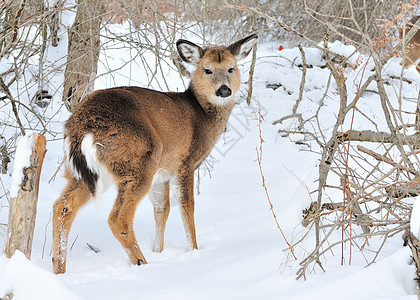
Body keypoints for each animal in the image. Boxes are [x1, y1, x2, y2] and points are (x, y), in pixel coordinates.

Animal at [51, 34, 258, 274]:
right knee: (118, 218)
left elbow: (162, 209)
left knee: (62, 206)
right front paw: (194, 252)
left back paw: (59, 269)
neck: (202, 116)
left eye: (231, 68)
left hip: (81, 171)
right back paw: (142, 264)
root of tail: (81, 126)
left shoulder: (162, 174)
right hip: (139, 161)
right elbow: (187, 208)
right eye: (207, 69)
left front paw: (159, 251)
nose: (224, 90)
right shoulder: (185, 163)